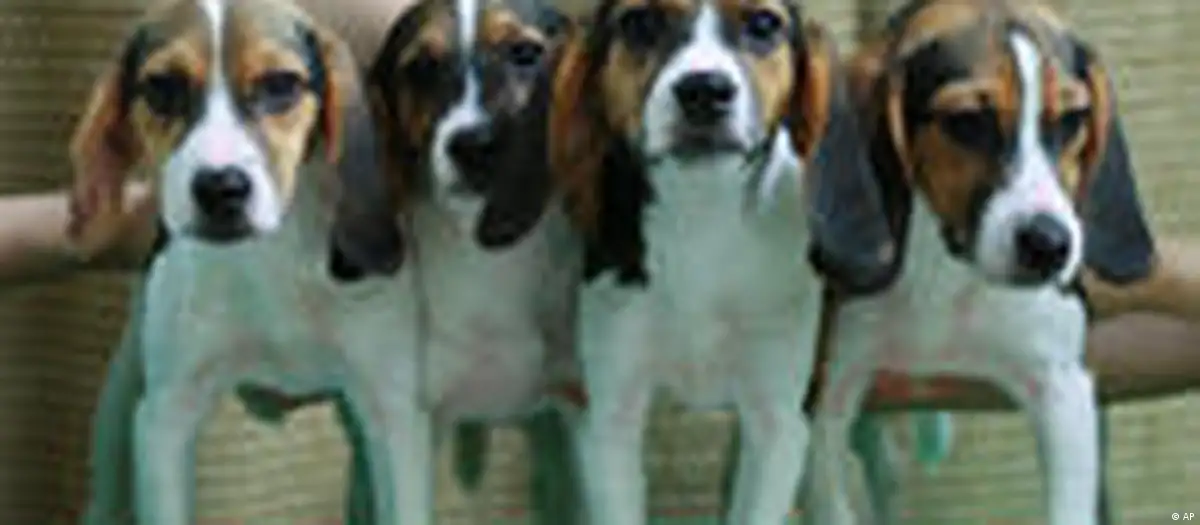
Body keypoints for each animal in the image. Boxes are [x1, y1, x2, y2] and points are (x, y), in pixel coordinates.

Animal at [68, 0, 575, 523]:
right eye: (161, 87)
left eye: (281, 84)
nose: (220, 188)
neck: (271, 254)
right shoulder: (167, 419)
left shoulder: (391, 413)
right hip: (125, 407)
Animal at [547, 0, 896, 522]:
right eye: (640, 22)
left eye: (763, 24)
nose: (704, 91)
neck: (701, 218)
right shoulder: (613, 418)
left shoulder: (776, 422)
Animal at [803, 2, 1157, 525]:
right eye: (967, 121)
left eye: (1073, 119)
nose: (1050, 245)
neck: (947, 270)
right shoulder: (828, 395)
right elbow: (830, 499)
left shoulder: (1064, 390)